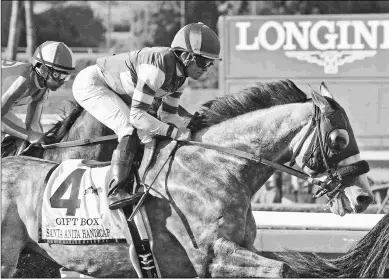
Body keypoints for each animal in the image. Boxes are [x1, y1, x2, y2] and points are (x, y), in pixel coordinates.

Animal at [1, 80, 374, 278]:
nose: (364, 197)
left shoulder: (242, 249)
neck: (216, 166)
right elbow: (282, 270)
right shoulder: (211, 257)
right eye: (339, 139)